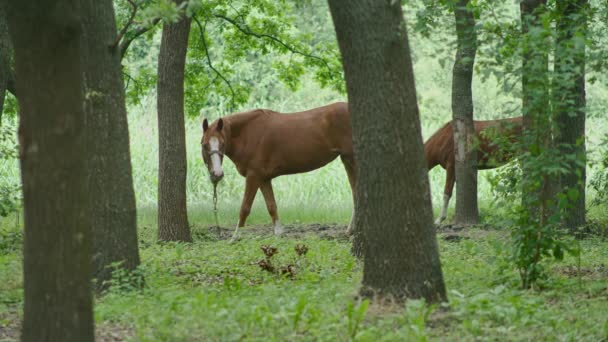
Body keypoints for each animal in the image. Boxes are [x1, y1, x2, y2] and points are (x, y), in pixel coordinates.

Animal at [202, 103, 356, 239]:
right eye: (204, 144)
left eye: (222, 144)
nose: (217, 174)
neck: (249, 133)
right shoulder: (263, 179)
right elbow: (271, 206)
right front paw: (278, 234)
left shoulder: (253, 176)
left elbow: (244, 208)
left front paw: (235, 237)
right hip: (347, 161)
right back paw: (350, 231)